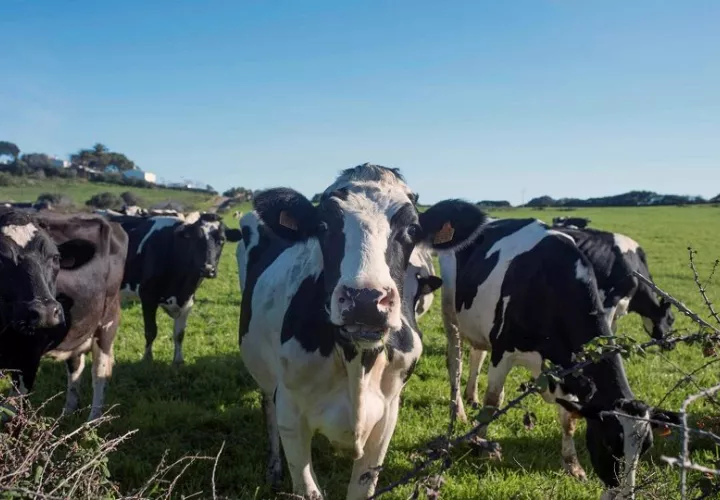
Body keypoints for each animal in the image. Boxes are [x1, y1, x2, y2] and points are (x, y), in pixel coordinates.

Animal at [0, 210, 128, 420]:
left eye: (55, 257)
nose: (45, 312)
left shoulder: (28, 359)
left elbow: (12, 411)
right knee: (75, 367)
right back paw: (67, 414)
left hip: (108, 321)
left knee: (99, 371)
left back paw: (92, 421)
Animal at [106, 212, 227, 364]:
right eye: (195, 239)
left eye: (221, 240)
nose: (207, 269)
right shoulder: (148, 296)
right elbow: (151, 330)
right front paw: (147, 358)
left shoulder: (188, 301)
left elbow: (179, 334)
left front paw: (178, 360)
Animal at [237, 164, 437, 499]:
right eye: (323, 225)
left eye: (412, 229)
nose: (366, 300)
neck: (356, 362)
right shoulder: (290, 410)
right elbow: (307, 487)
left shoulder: (387, 414)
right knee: (267, 406)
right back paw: (273, 468)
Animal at [421, 201, 678, 498]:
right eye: (607, 443)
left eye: (646, 448)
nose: (624, 494)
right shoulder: (504, 349)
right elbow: (493, 401)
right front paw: (479, 443)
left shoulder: (570, 369)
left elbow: (569, 419)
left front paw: (573, 466)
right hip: (451, 314)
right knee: (456, 363)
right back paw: (459, 411)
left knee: (477, 353)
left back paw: (470, 395)